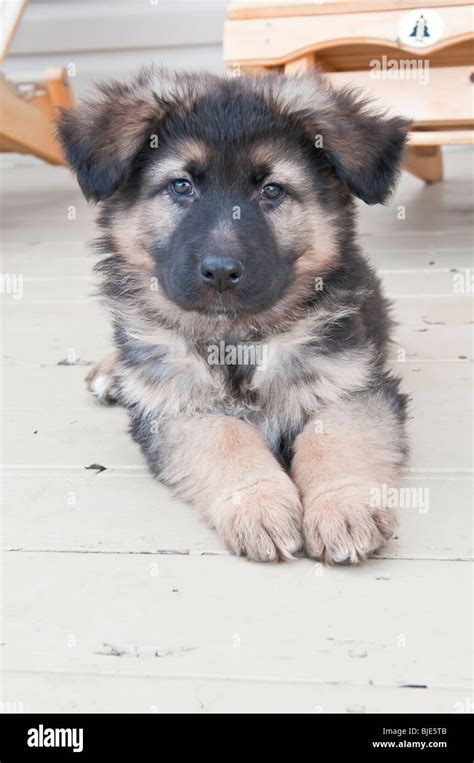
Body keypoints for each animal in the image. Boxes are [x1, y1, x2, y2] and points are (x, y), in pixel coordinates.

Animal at [57, 68, 410, 564]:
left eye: (272, 190)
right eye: (181, 186)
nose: (221, 272)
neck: (235, 338)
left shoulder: (353, 383)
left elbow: (337, 438)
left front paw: (343, 505)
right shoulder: (175, 405)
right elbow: (225, 438)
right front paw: (259, 504)